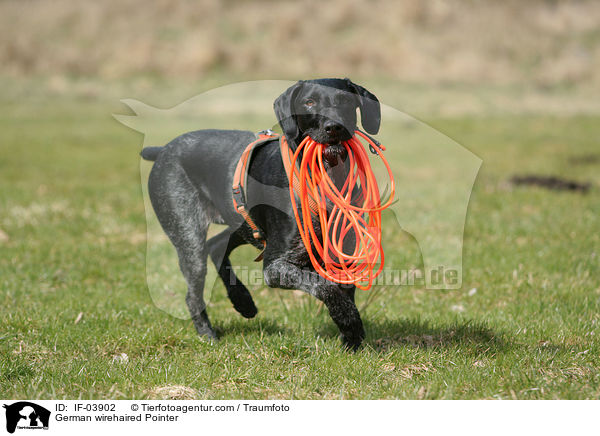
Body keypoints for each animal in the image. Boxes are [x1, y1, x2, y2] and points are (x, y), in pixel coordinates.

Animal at [141, 77, 380, 350]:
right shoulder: (276, 267)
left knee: (216, 245)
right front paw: (350, 322)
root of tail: (162, 150)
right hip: (188, 236)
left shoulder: (343, 255)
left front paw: (350, 338)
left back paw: (242, 300)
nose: (334, 127)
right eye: (309, 102)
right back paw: (208, 334)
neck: (327, 178)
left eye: (346, 100)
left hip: (243, 224)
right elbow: (325, 286)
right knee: (193, 292)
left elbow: (343, 290)